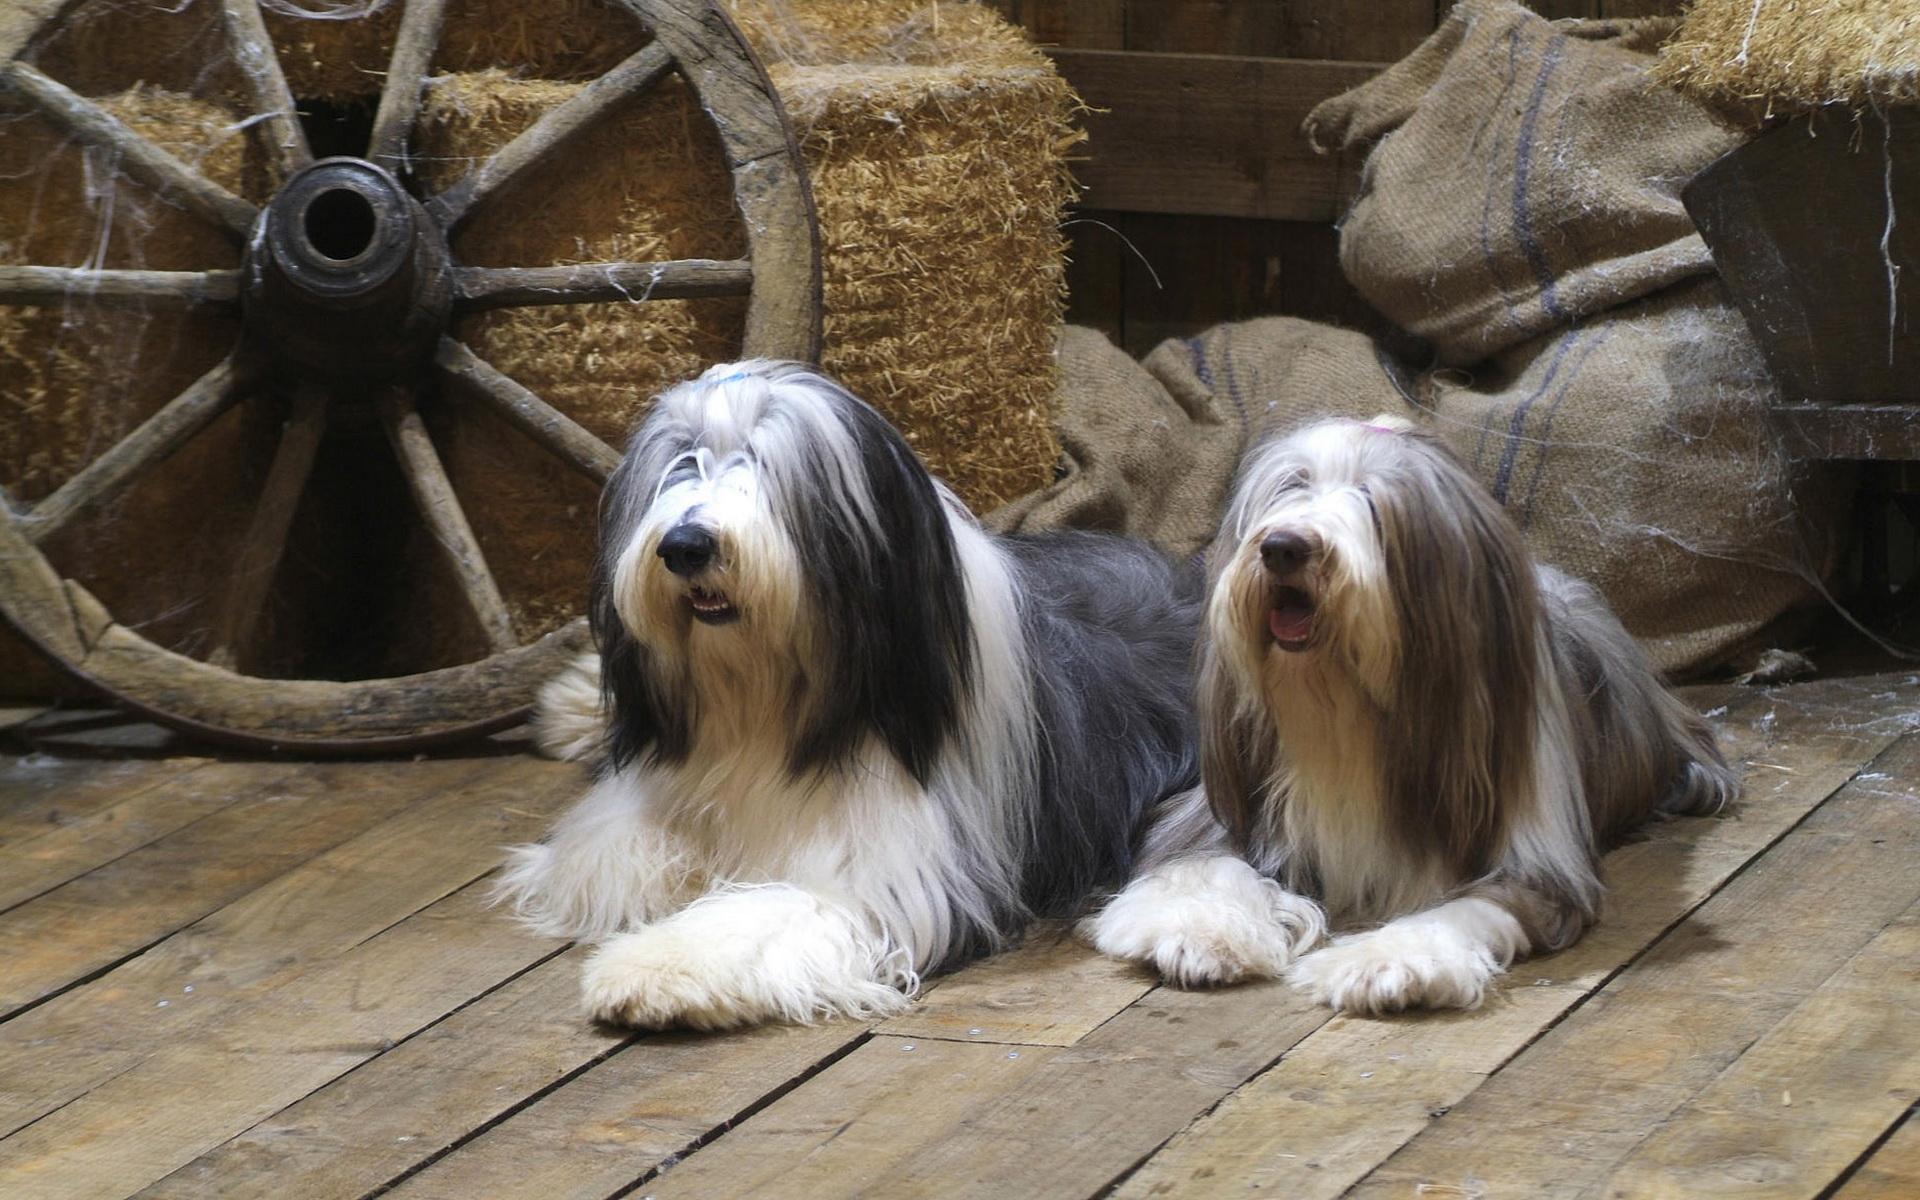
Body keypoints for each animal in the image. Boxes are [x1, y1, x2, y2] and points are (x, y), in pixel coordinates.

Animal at [503, 360, 1190, 1021]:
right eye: (682, 460)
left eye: (768, 463)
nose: (684, 545)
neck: (768, 700)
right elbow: (604, 855)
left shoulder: (894, 872)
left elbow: (774, 911)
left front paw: (648, 969)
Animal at [1082, 416, 1743, 1006]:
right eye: (1292, 486)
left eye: (1374, 504)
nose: (1282, 545)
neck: (1346, 714)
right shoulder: (1227, 804)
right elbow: (1200, 864)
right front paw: (1200, 933)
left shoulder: (1535, 856)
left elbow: (1468, 909)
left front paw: (1383, 963)